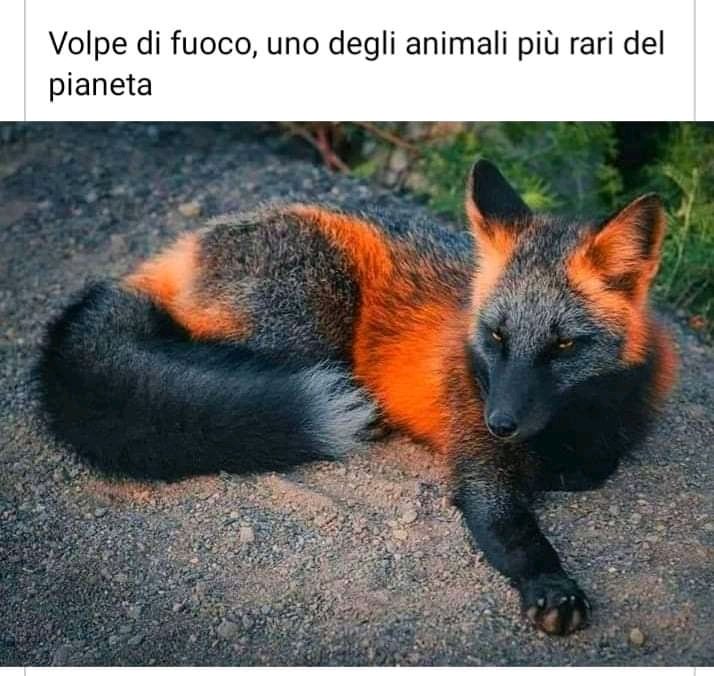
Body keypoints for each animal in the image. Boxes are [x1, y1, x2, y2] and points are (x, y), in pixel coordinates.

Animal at [38, 159, 678, 636]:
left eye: (564, 345)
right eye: (496, 337)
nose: (500, 422)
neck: (571, 424)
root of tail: (186, 244)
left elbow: (597, 465)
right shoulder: (478, 464)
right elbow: (515, 532)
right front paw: (551, 585)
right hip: (311, 322)